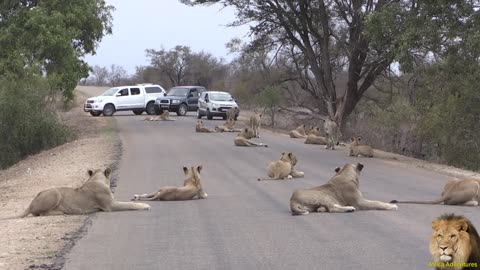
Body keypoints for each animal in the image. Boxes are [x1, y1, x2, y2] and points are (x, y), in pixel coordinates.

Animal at [0, 167, 150, 219]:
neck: (95, 179)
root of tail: (30, 204)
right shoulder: (110, 206)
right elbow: (129, 204)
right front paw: (145, 205)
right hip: (55, 192)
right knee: (40, 214)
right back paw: (61, 212)